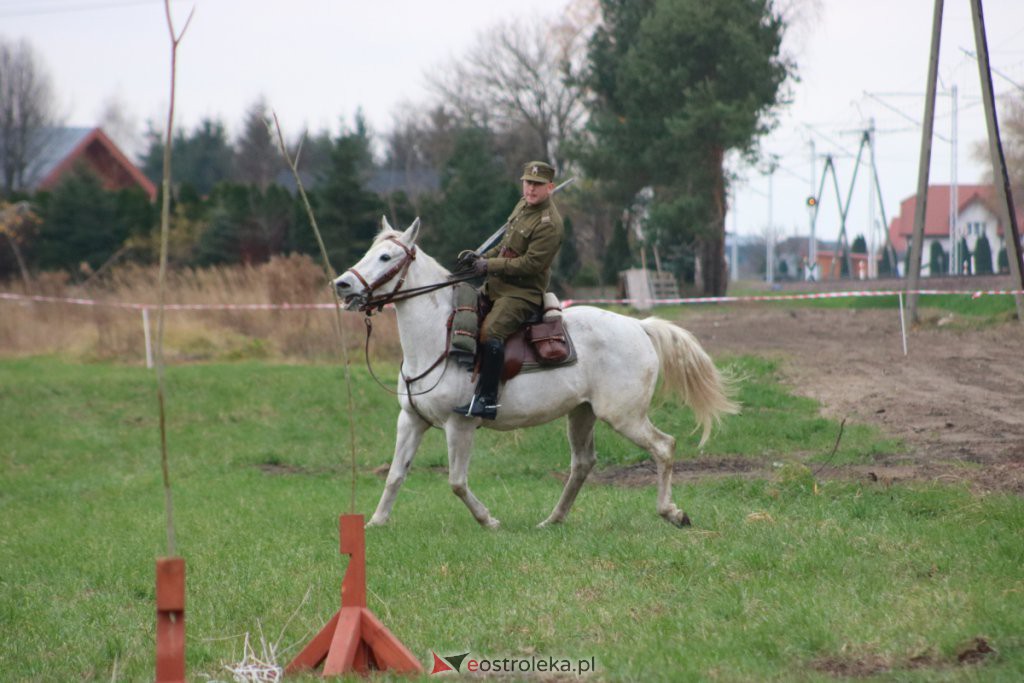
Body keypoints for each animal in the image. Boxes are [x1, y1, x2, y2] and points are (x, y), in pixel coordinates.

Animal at [335, 219, 737, 528]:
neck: (438, 337)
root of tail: (639, 326)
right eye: (369, 252)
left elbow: (457, 482)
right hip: (582, 414)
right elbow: (395, 475)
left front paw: (488, 520)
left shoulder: (459, 425)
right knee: (583, 464)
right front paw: (375, 523)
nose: (342, 284)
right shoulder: (411, 420)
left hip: (625, 416)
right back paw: (553, 519)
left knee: (663, 446)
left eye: (386, 257)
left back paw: (672, 513)